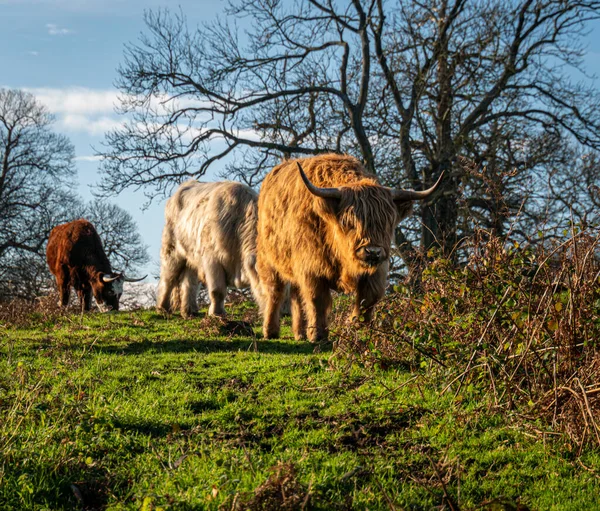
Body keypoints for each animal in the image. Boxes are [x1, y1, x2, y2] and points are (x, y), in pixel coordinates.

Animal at [156, 179, 264, 316]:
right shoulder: (212, 259)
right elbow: (217, 291)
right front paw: (217, 313)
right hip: (172, 251)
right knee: (168, 279)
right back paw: (163, 307)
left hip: (192, 257)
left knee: (189, 282)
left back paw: (190, 310)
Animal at [255, 154, 442, 342]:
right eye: (350, 222)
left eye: (387, 223)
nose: (372, 252)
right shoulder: (311, 267)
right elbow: (316, 299)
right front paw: (318, 334)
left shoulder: (377, 269)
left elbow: (369, 298)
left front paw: (357, 328)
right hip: (268, 259)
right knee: (275, 293)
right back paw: (270, 331)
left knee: (296, 295)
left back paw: (299, 333)